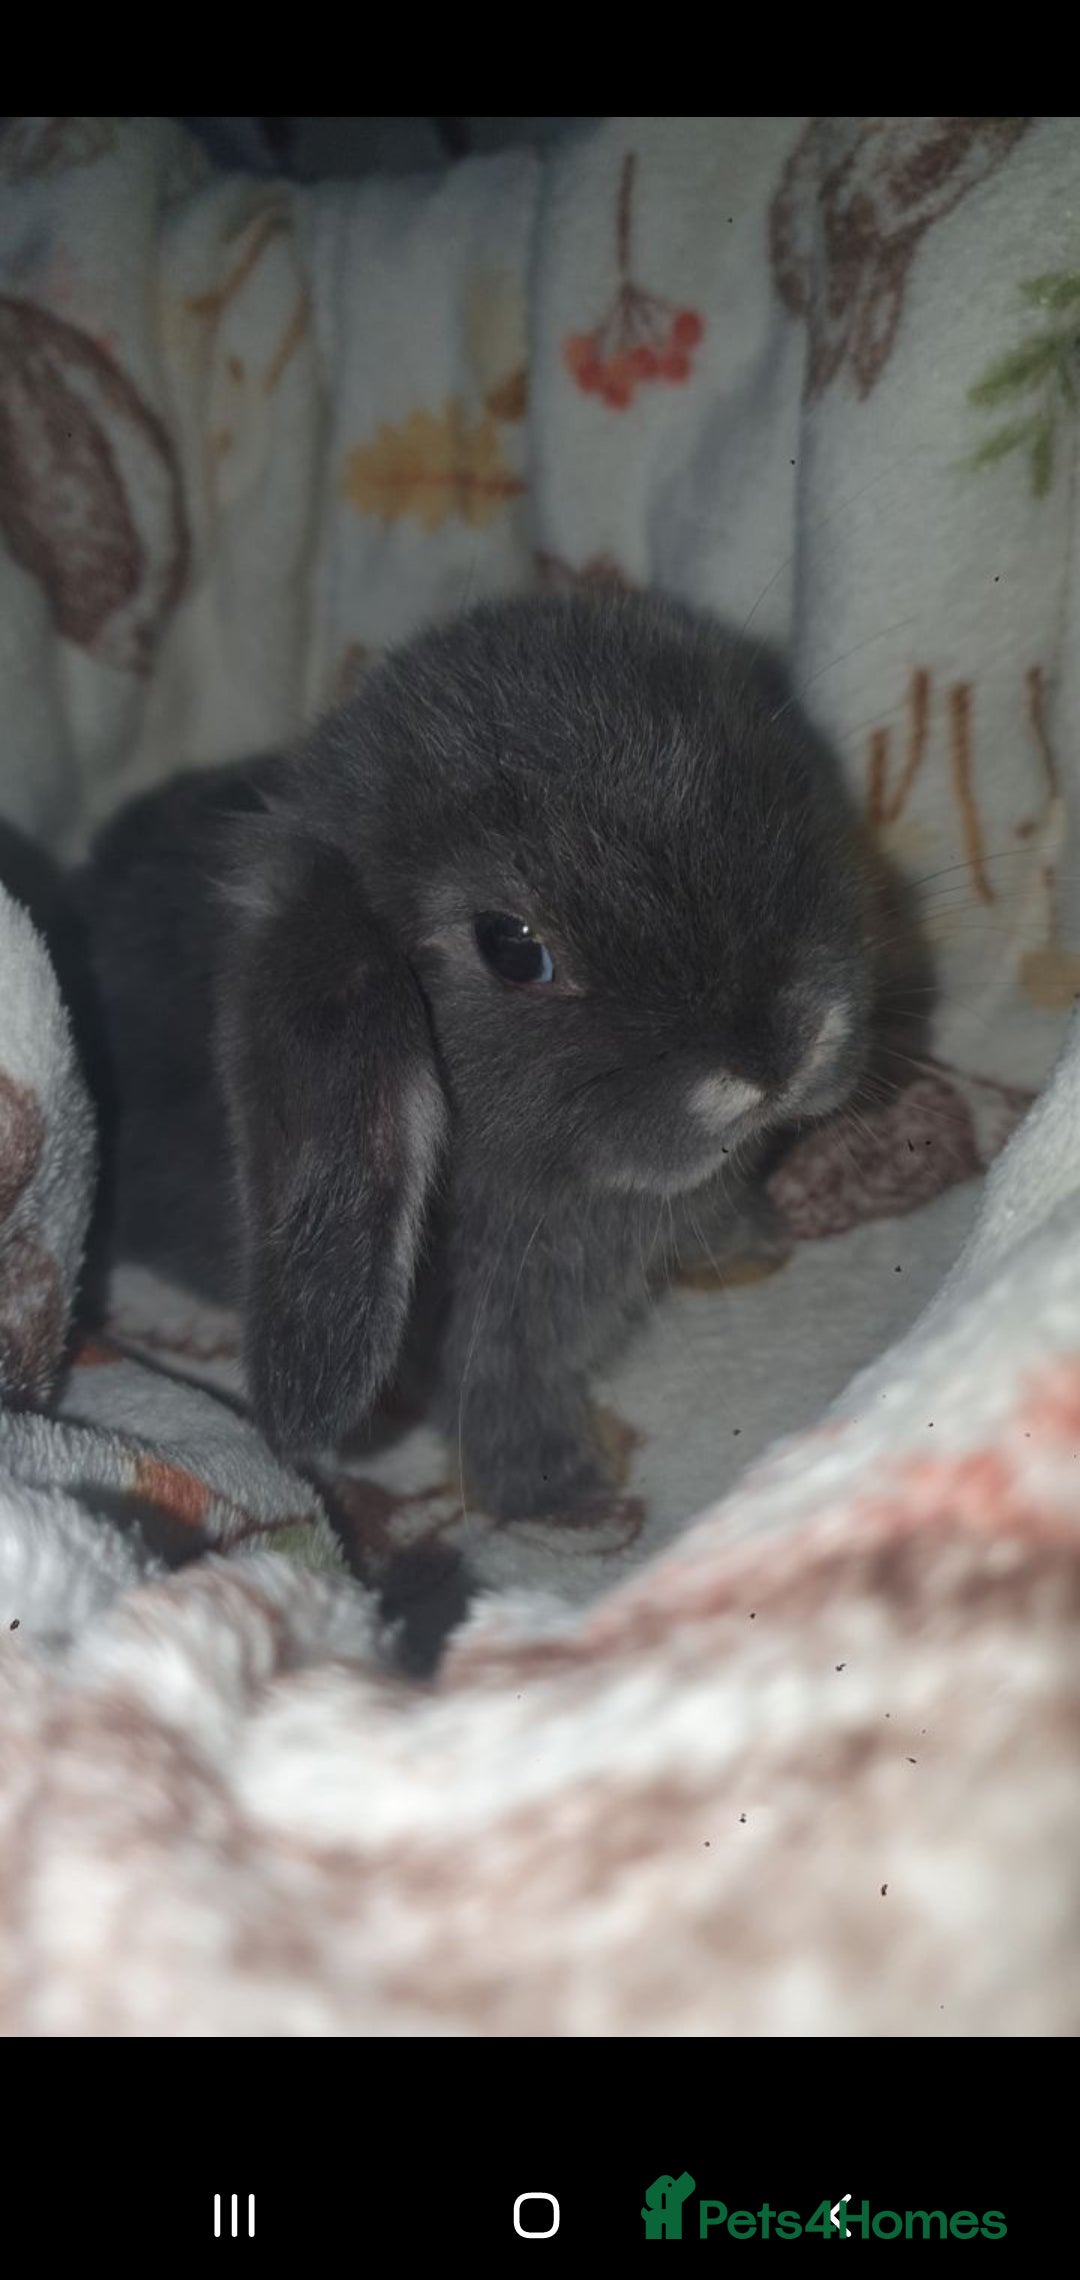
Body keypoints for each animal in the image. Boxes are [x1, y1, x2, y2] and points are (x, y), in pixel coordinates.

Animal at [72, 588, 874, 1522]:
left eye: (778, 784)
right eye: (512, 948)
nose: (780, 1051)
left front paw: (758, 1238)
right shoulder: (490, 1333)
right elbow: (496, 1399)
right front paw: (568, 1504)